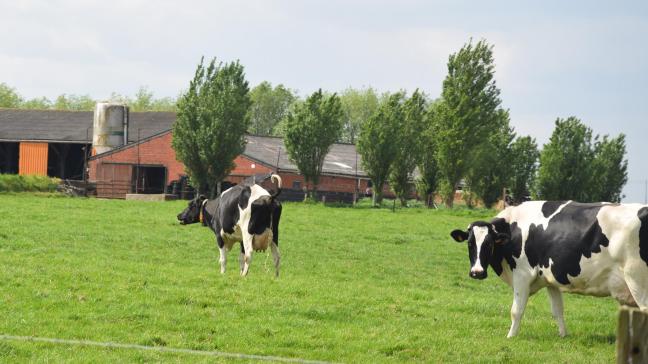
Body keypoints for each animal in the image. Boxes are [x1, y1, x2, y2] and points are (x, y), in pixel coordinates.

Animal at [450, 200, 648, 336]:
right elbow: (558, 311)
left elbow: (516, 310)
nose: (477, 272)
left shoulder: (522, 275)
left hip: (636, 279)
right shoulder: (550, 279)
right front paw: (563, 335)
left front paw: (511, 336)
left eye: (489, 244)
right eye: (469, 243)